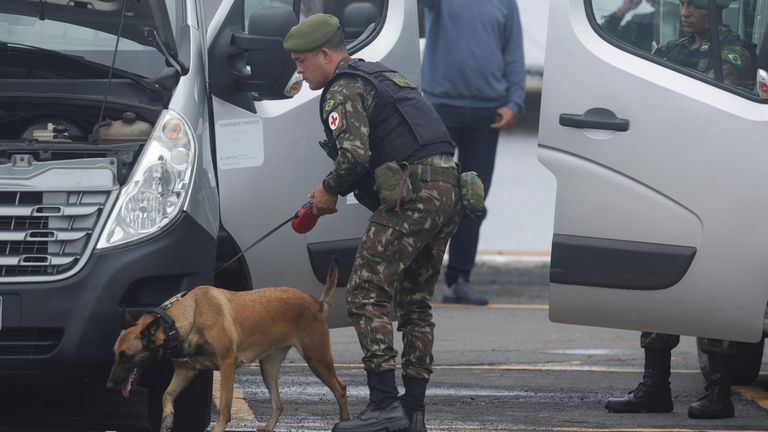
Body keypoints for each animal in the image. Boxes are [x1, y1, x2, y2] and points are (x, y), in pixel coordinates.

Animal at [106, 260, 352, 432]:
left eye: (127, 356)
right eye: (116, 355)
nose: (109, 385)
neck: (185, 319)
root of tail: (316, 304)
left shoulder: (226, 365)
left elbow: (224, 405)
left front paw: (218, 428)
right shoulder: (186, 370)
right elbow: (167, 394)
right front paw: (167, 420)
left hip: (317, 359)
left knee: (340, 389)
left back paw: (345, 422)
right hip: (268, 368)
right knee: (279, 404)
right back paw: (268, 427)